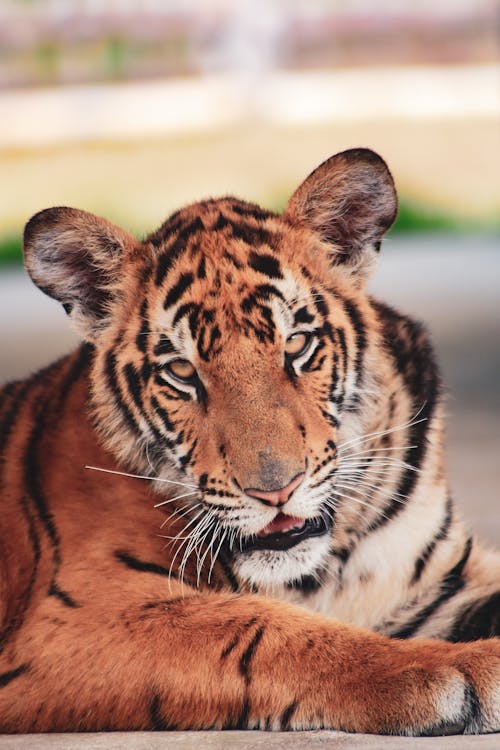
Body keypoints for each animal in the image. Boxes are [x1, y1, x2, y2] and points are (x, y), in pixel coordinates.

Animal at [0, 148, 498, 736]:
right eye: (182, 372)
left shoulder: (440, 576)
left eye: (298, 344)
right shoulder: (81, 616)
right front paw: (468, 666)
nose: (275, 491)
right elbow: (263, 630)